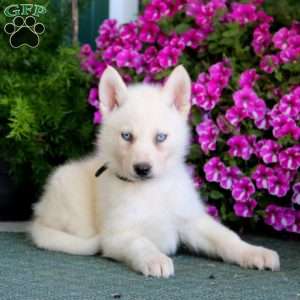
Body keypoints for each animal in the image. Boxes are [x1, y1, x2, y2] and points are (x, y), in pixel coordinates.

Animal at [29, 66, 278, 278]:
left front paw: (253, 252)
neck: (151, 189)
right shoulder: (117, 234)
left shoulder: (192, 220)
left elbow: (226, 237)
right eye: (126, 136)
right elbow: (141, 243)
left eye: (160, 137)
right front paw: (154, 259)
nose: (142, 169)